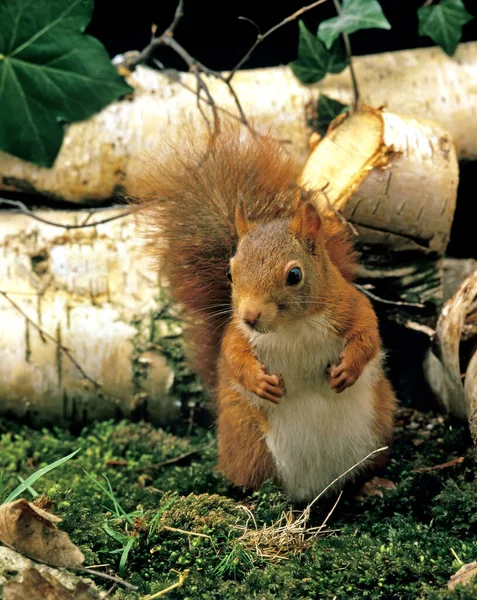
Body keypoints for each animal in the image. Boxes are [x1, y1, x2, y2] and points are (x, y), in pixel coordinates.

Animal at [130, 123, 394, 502]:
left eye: (294, 275)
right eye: (229, 273)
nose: (250, 316)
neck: (292, 326)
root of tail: (317, 490)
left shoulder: (351, 306)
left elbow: (368, 335)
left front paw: (347, 370)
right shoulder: (237, 334)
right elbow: (233, 357)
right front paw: (259, 382)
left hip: (378, 429)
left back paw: (372, 484)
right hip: (248, 443)